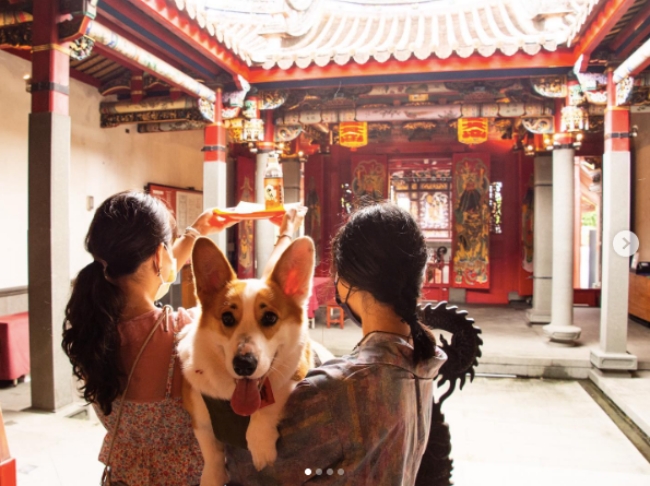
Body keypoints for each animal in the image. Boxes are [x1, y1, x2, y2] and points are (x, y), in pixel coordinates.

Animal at [178, 235, 329, 485]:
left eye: (270, 318)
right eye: (227, 318)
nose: (244, 365)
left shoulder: (295, 372)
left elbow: (268, 404)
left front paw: (259, 444)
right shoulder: (199, 414)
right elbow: (210, 451)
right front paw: (212, 475)